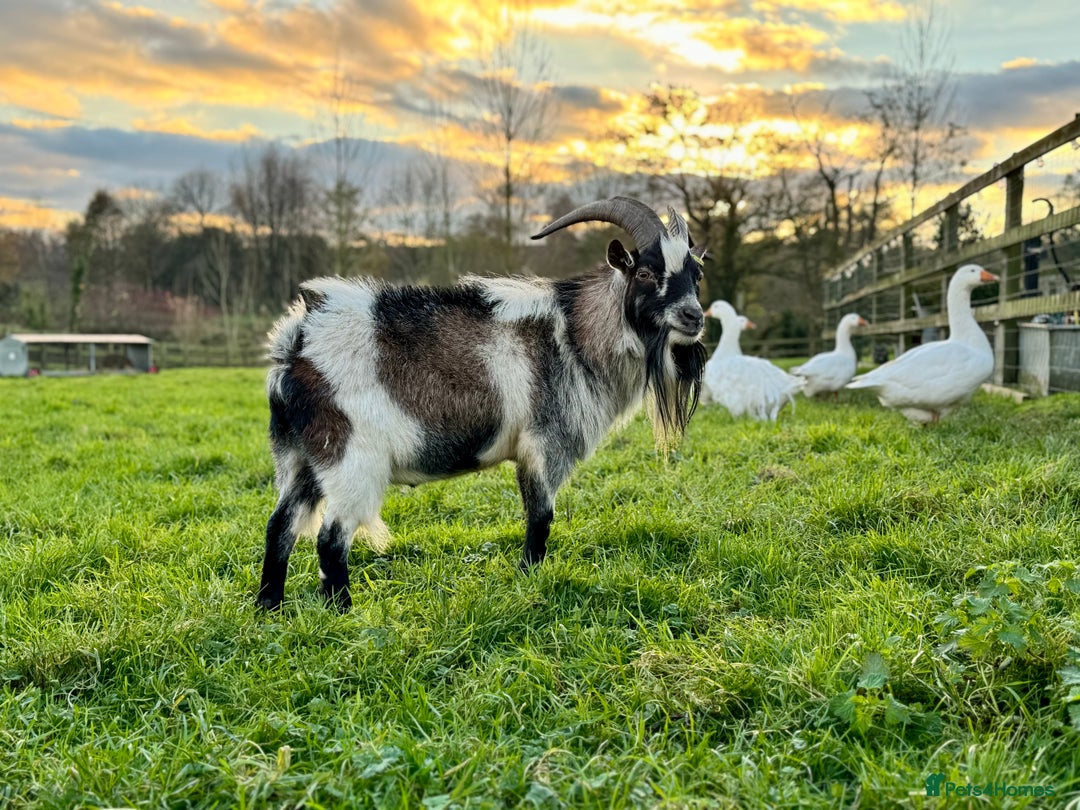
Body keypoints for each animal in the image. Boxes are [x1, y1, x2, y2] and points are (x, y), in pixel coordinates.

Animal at [257, 196, 707, 611]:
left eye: (696, 275)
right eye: (645, 272)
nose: (694, 317)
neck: (573, 335)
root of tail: (296, 342)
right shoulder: (544, 444)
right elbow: (541, 518)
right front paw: (529, 581)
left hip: (300, 459)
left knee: (280, 526)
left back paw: (269, 608)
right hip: (350, 458)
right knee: (330, 537)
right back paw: (344, 614)